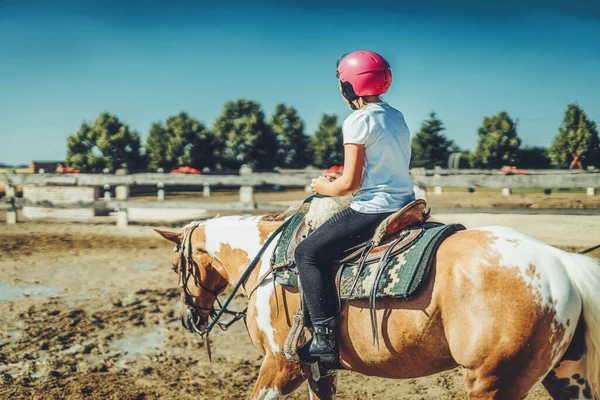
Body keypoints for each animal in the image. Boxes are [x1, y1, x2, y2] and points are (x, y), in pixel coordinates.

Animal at [156, 216, 600, 400]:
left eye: (177, 265)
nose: (188, 317)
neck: (268, 264)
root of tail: (560, 261)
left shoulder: (283, 364)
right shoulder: (320, 371)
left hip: (492, 381)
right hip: (565, 376)